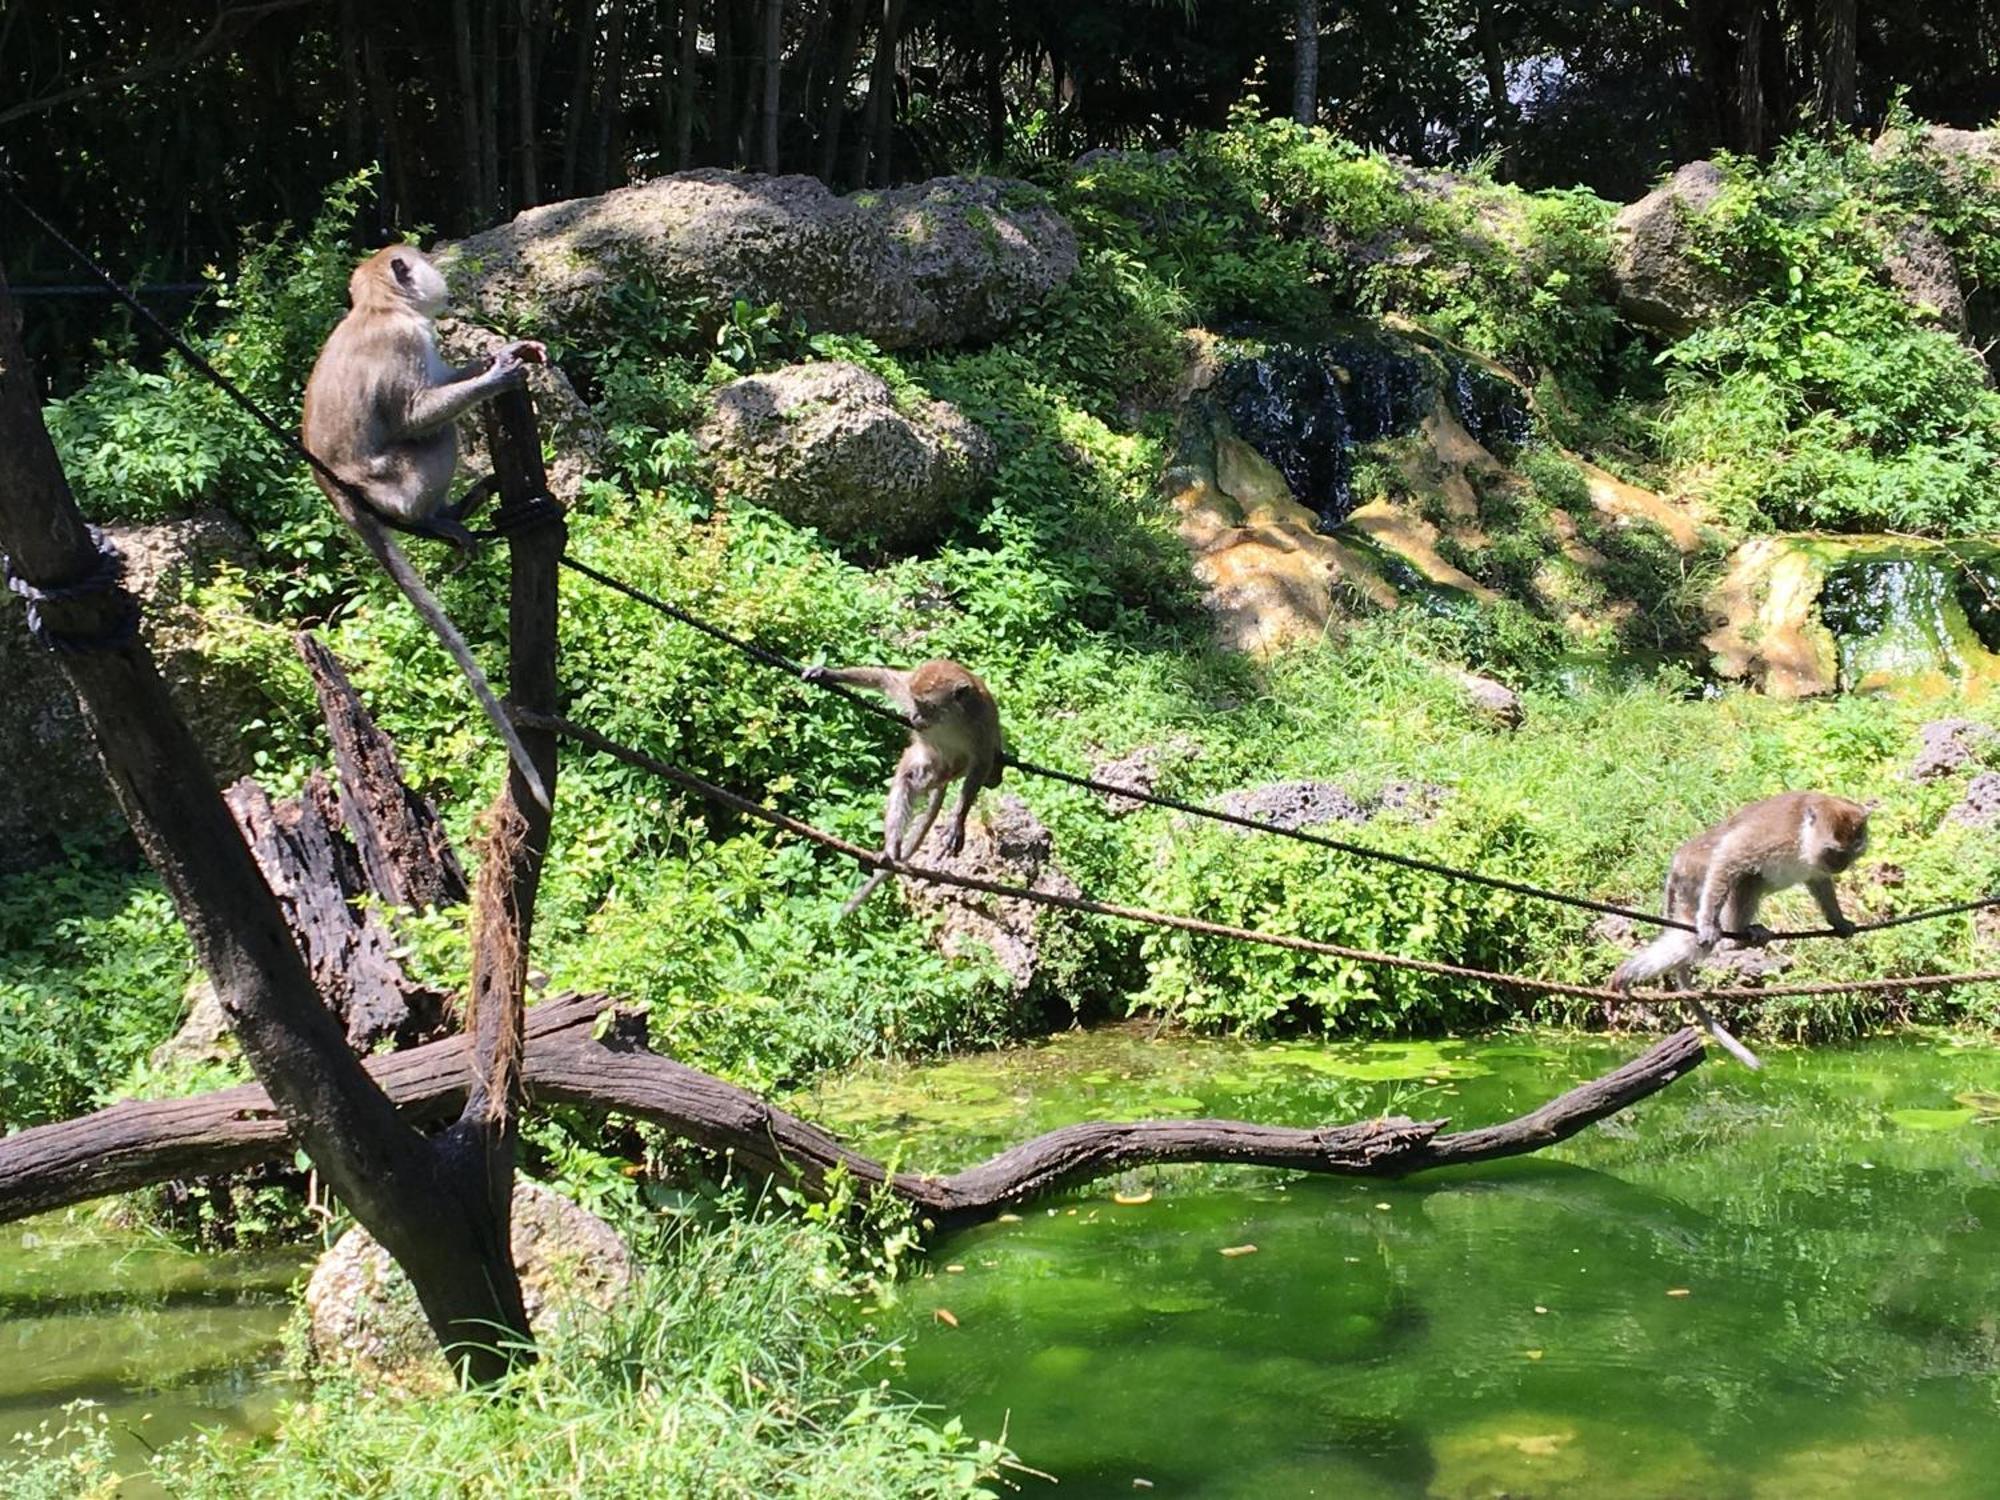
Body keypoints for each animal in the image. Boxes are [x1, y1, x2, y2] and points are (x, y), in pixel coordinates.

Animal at [298, 244, 548, 812]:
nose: (439, 272)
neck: (380, 308)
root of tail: (341, 495)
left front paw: (505, 351)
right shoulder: (404, 340)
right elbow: (414, 414)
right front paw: (496, 376)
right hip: (396, 483)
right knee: (438, 434)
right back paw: (437, 517)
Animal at [796, 664, 1008, 924]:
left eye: (928, 706)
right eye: (915, 703)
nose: (914, 718)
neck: (951, 719)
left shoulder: (980, 723)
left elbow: (981, 764)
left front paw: (957, 820)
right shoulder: (907, 689)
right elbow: (884, 678)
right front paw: (826, 673)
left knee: (981, 771)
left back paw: (994, 776)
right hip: (928, 758)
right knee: (906, 781)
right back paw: (891, 850)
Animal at [1608, 800, 1872, 1072]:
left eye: (1850, 851)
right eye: (1833, 851)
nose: (1841, 866)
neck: (1804, 838)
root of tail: (1677, 861)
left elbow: (1819, 879)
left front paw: (1839, 921)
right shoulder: (1778, 835)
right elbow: (1730, 855)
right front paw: (1707, 924)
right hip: (1693, 880)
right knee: (1743, 879)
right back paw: (1734, 938)